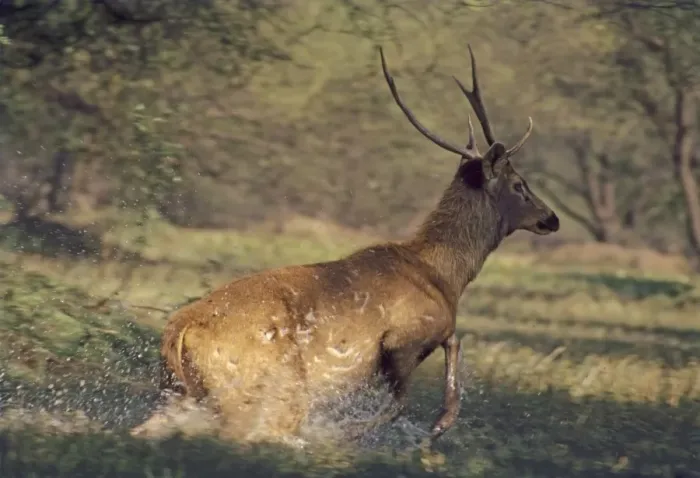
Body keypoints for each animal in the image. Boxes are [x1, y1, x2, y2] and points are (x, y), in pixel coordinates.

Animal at [130, 45, 560, 450]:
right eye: (520, 185)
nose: (551, 218)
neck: (445, 276)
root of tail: (176, 334)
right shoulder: (405, 337)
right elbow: (405, 396)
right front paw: (361, 434)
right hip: (266, 384)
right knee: (250, 432)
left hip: (179, 392)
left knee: (149, 429)